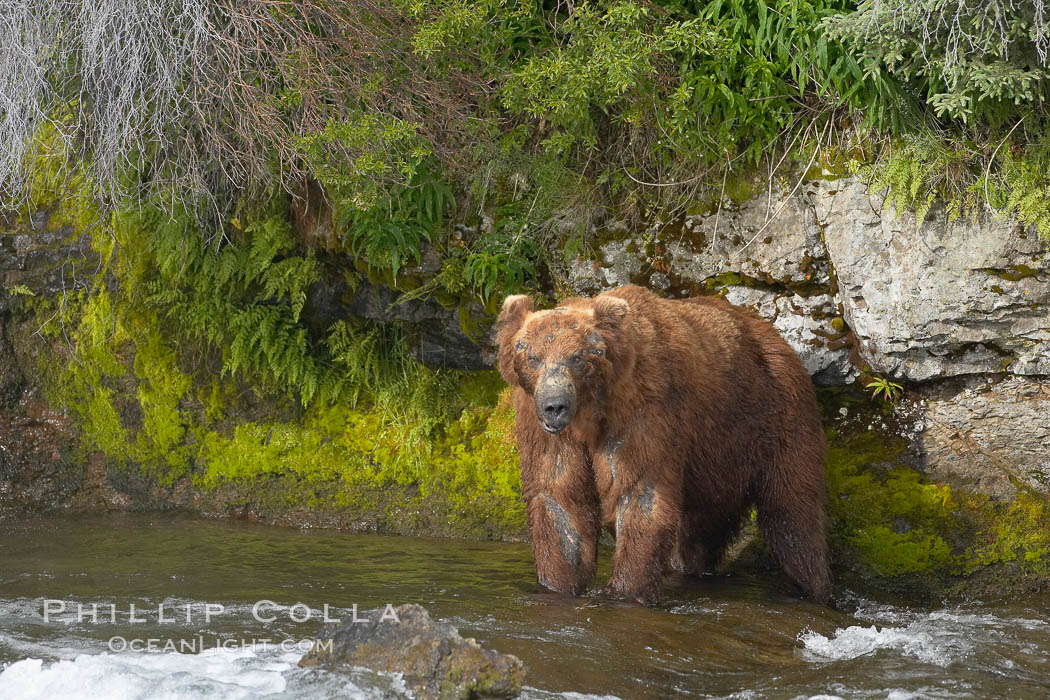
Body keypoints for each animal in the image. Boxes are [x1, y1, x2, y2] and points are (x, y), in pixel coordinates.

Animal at [491, 287, 827, 604]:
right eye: (533, 357)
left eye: (577, 357)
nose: (554, 406)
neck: (590, 412)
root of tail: (775, 336)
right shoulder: (546, 430)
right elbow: (559, 499)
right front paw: (559, 583)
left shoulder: (644, 411)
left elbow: (640, 494)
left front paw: (626, 592)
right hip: (715, 464)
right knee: (701, 530)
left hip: (776, 418)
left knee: (793, 515)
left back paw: (815, 586)